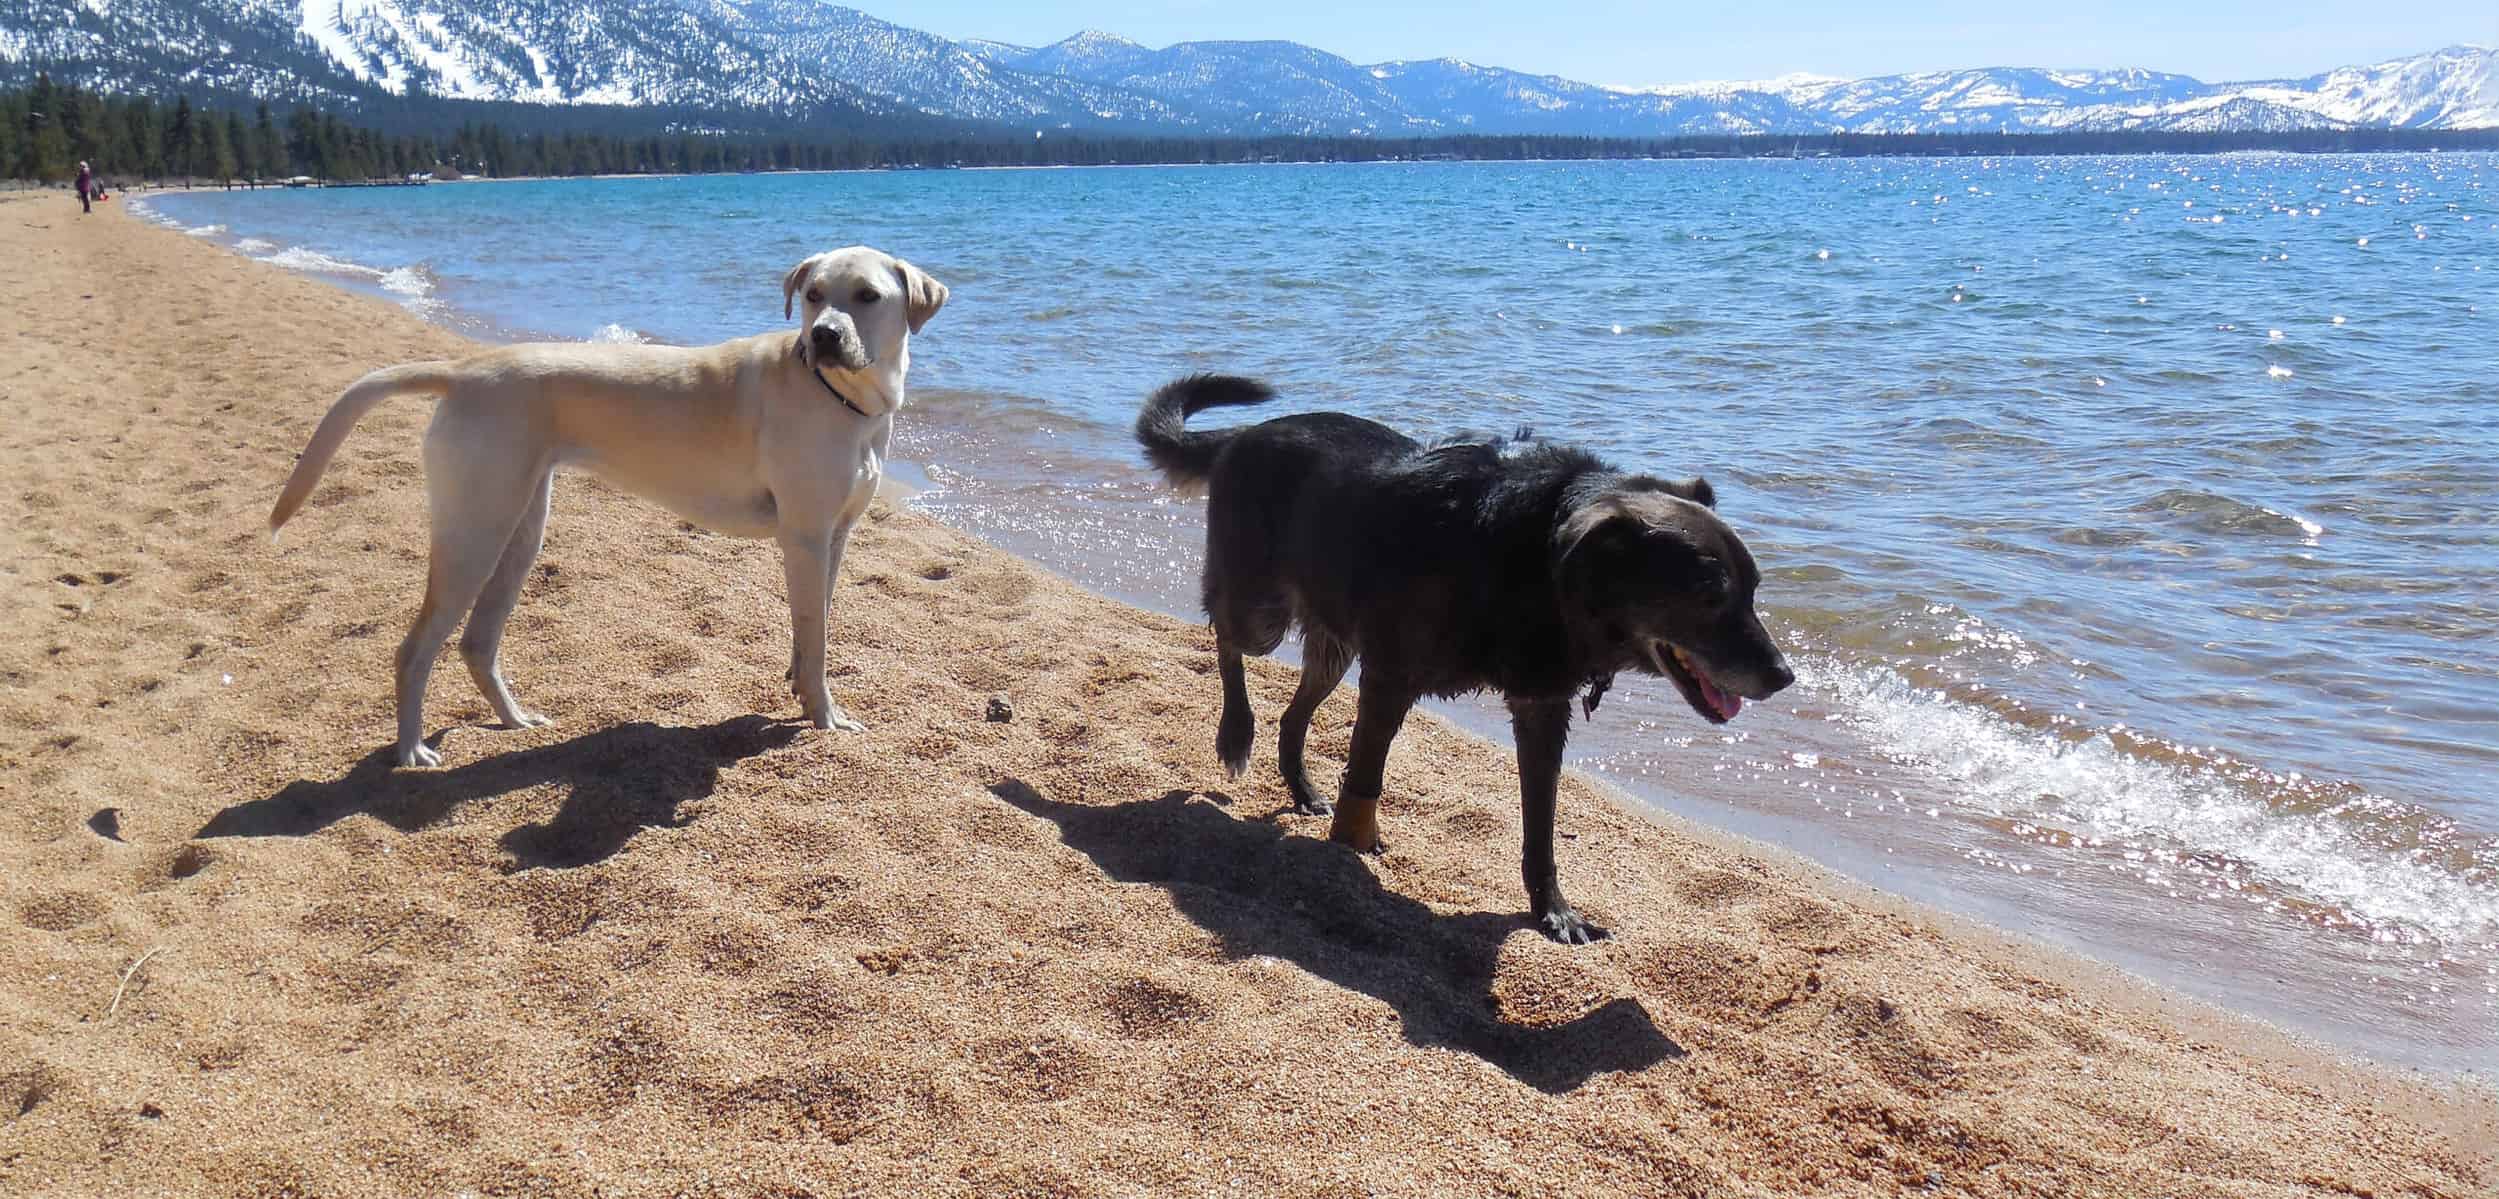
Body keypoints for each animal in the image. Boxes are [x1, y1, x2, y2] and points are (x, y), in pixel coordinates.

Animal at [266, 246, 944, 769]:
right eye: (813, 294)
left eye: (867, 295)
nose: (823, 336)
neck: (839, 396)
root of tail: (463, 369)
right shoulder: (804, 537)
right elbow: (819, 636)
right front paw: (826, 713)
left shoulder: (834, 537)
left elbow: (813, 628)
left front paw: (804, 694)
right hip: (473, 533)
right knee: (416, 648)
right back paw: (411, 750)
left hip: (519, 530)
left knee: (477, 642)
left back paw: (514, 720)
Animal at [1134, 374, 1799, 944]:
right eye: (1709, 595)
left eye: (1754, 590)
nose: (1784, 677)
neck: (1540, 569)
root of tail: (1243, 435)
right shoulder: (1391, 677)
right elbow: (1365, 782)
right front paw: (1348, 857)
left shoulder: (1541, 706)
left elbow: (1541, 823)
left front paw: (1553, 911)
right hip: (1263, 613)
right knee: (1225, 636)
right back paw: (1234, 733)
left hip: (1336, 643)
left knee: (1294, 712)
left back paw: (1300, 787)